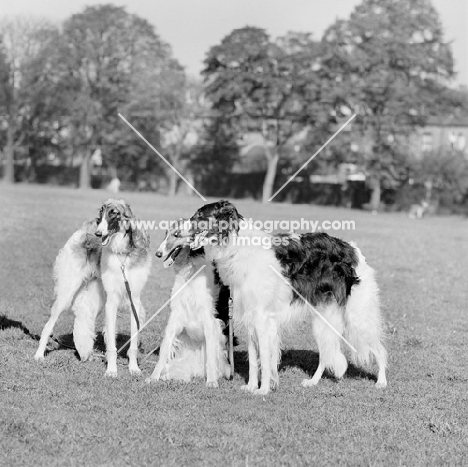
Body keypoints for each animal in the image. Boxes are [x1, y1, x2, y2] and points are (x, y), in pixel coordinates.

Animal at [34, 198, 151, 376]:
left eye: (114, 214)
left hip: (96, 299)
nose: (98, 233)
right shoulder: (112, 301)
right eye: (101, 214)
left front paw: (133, 368)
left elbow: (132, 344)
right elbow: (111, 345)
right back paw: (39, 355)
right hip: (67, 292)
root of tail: (84, 230)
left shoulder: (134, 301)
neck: (122, 253)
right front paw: (111, 370)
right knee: (48, 326)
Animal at [146, 219, 230, 388]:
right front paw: (153, 377)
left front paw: (212, 381)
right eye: (166, 233)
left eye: (177, 234)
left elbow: (211, 359)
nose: (158, 254)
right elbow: (164, 351)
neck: (190, 272)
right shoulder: (175, 316)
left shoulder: (209, 320)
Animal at [190, 200, 388, 394]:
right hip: (323, 320)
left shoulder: (262, 318)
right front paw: (252, 386)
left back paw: (381, 381)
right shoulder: (250, 317)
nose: (182, 228)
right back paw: (312, 382)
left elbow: (265, 359)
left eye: (200, 214)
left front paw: (263, 390)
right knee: (326, 354)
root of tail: (354, 249)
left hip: (358, 316)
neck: (238, 246)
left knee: (379, 350)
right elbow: (254, 360)